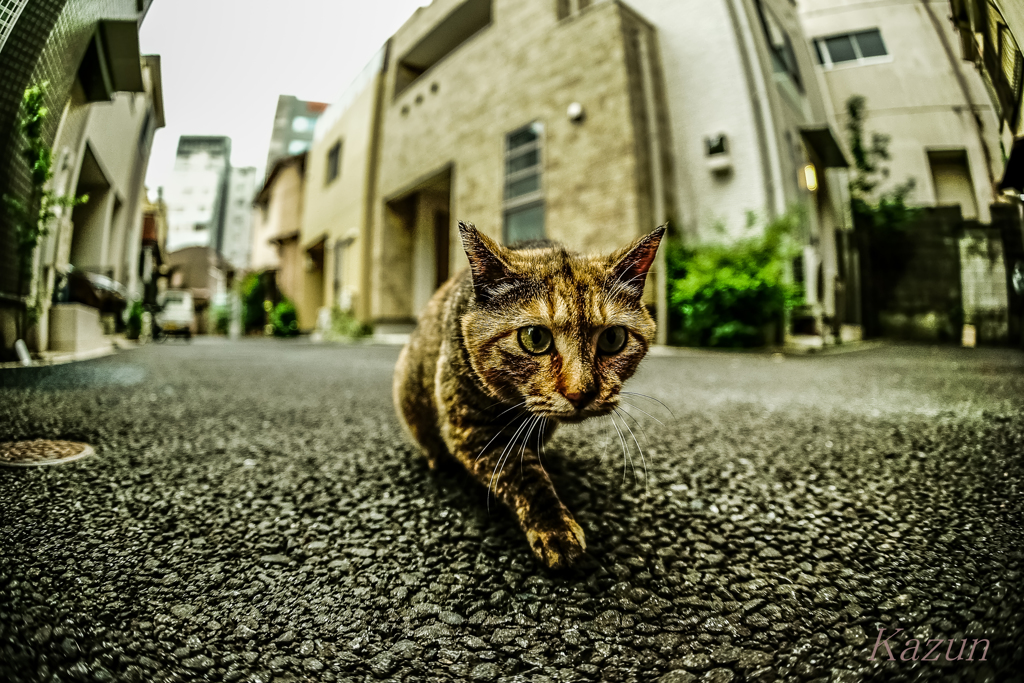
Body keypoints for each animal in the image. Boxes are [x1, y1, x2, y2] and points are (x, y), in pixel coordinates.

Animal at [391, 222, 663, 569]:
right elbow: (525, 478)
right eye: (534, 338)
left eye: (613, 338)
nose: (581, 392)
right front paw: (555, 529)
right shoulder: (471, 429)